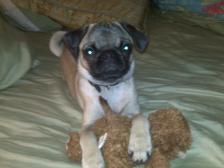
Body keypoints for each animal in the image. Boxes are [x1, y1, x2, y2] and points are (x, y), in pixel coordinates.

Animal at [50, 22, 152, 168]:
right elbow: (88, 138)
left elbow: (141, 119)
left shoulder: (133, 111)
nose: (109, 54)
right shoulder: (88, 125)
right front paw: (93, 161)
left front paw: (140, 148)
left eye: (126, 48)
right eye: (89, 51)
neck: (109, 87)